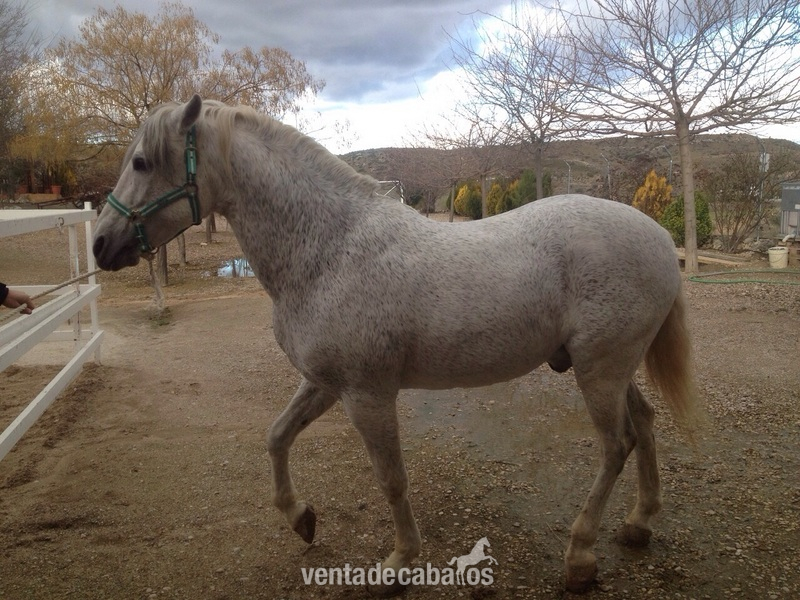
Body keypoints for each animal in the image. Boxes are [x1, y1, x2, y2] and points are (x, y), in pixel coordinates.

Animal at [93, 95, 698, 595]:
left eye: (142, 162)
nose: (101, 244)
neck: (329, 250)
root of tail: (659, 237)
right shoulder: (323, 384)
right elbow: (277, 437)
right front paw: (300, 516)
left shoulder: (368, 395)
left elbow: (391, 479)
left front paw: (399, 564)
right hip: (611, 369)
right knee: (644, 425)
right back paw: (639, 523)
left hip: (599, 371)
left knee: (616, 446)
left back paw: (580, 557)